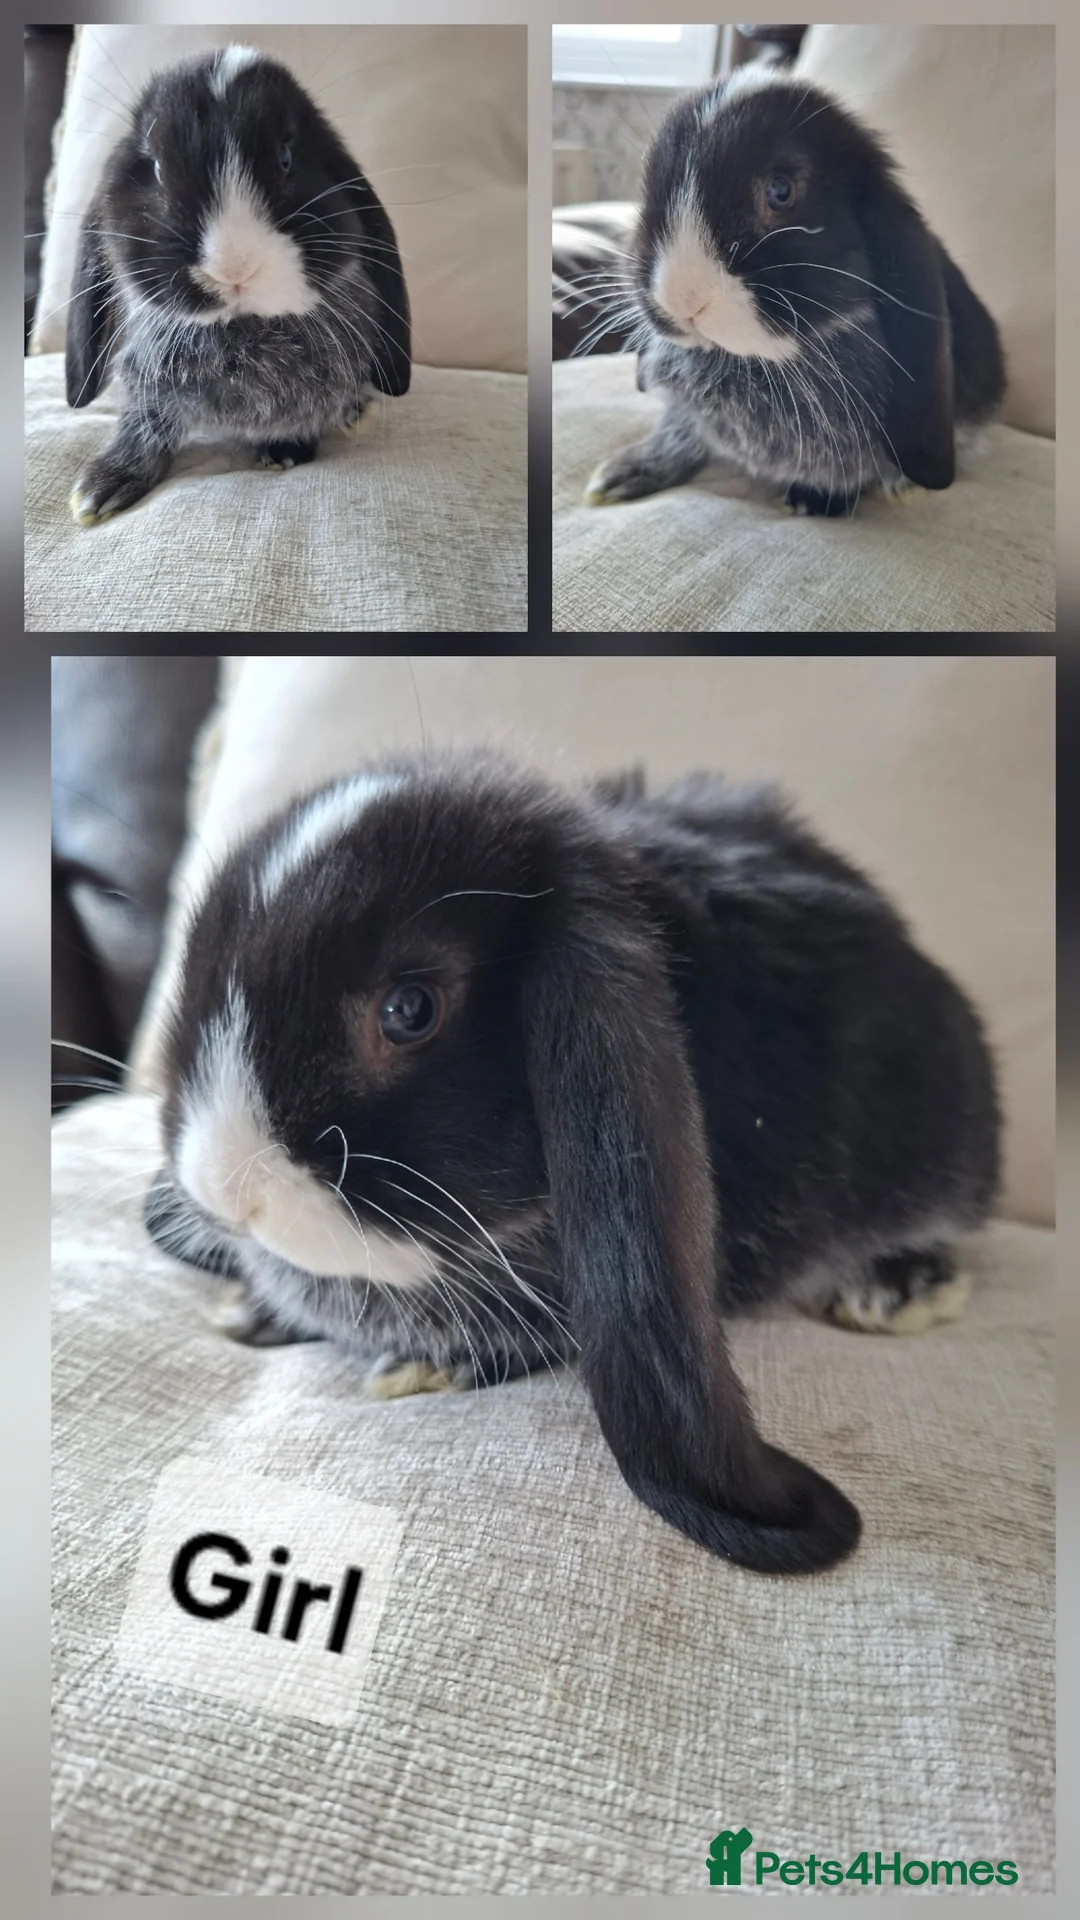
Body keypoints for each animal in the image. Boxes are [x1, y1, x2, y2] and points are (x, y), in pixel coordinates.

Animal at [64, 44, 410, 524]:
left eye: (286, 159)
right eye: (155, 167)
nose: (232, 267)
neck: (241, 333)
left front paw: (285, 451)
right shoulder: (148, 384)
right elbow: (144, 426)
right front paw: (102, 489)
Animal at [585, 69, 1006, 517]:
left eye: (781, 191)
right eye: (648, 182)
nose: (682, 299)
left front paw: (817, 499)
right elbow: (681, 432)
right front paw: (623, 474)